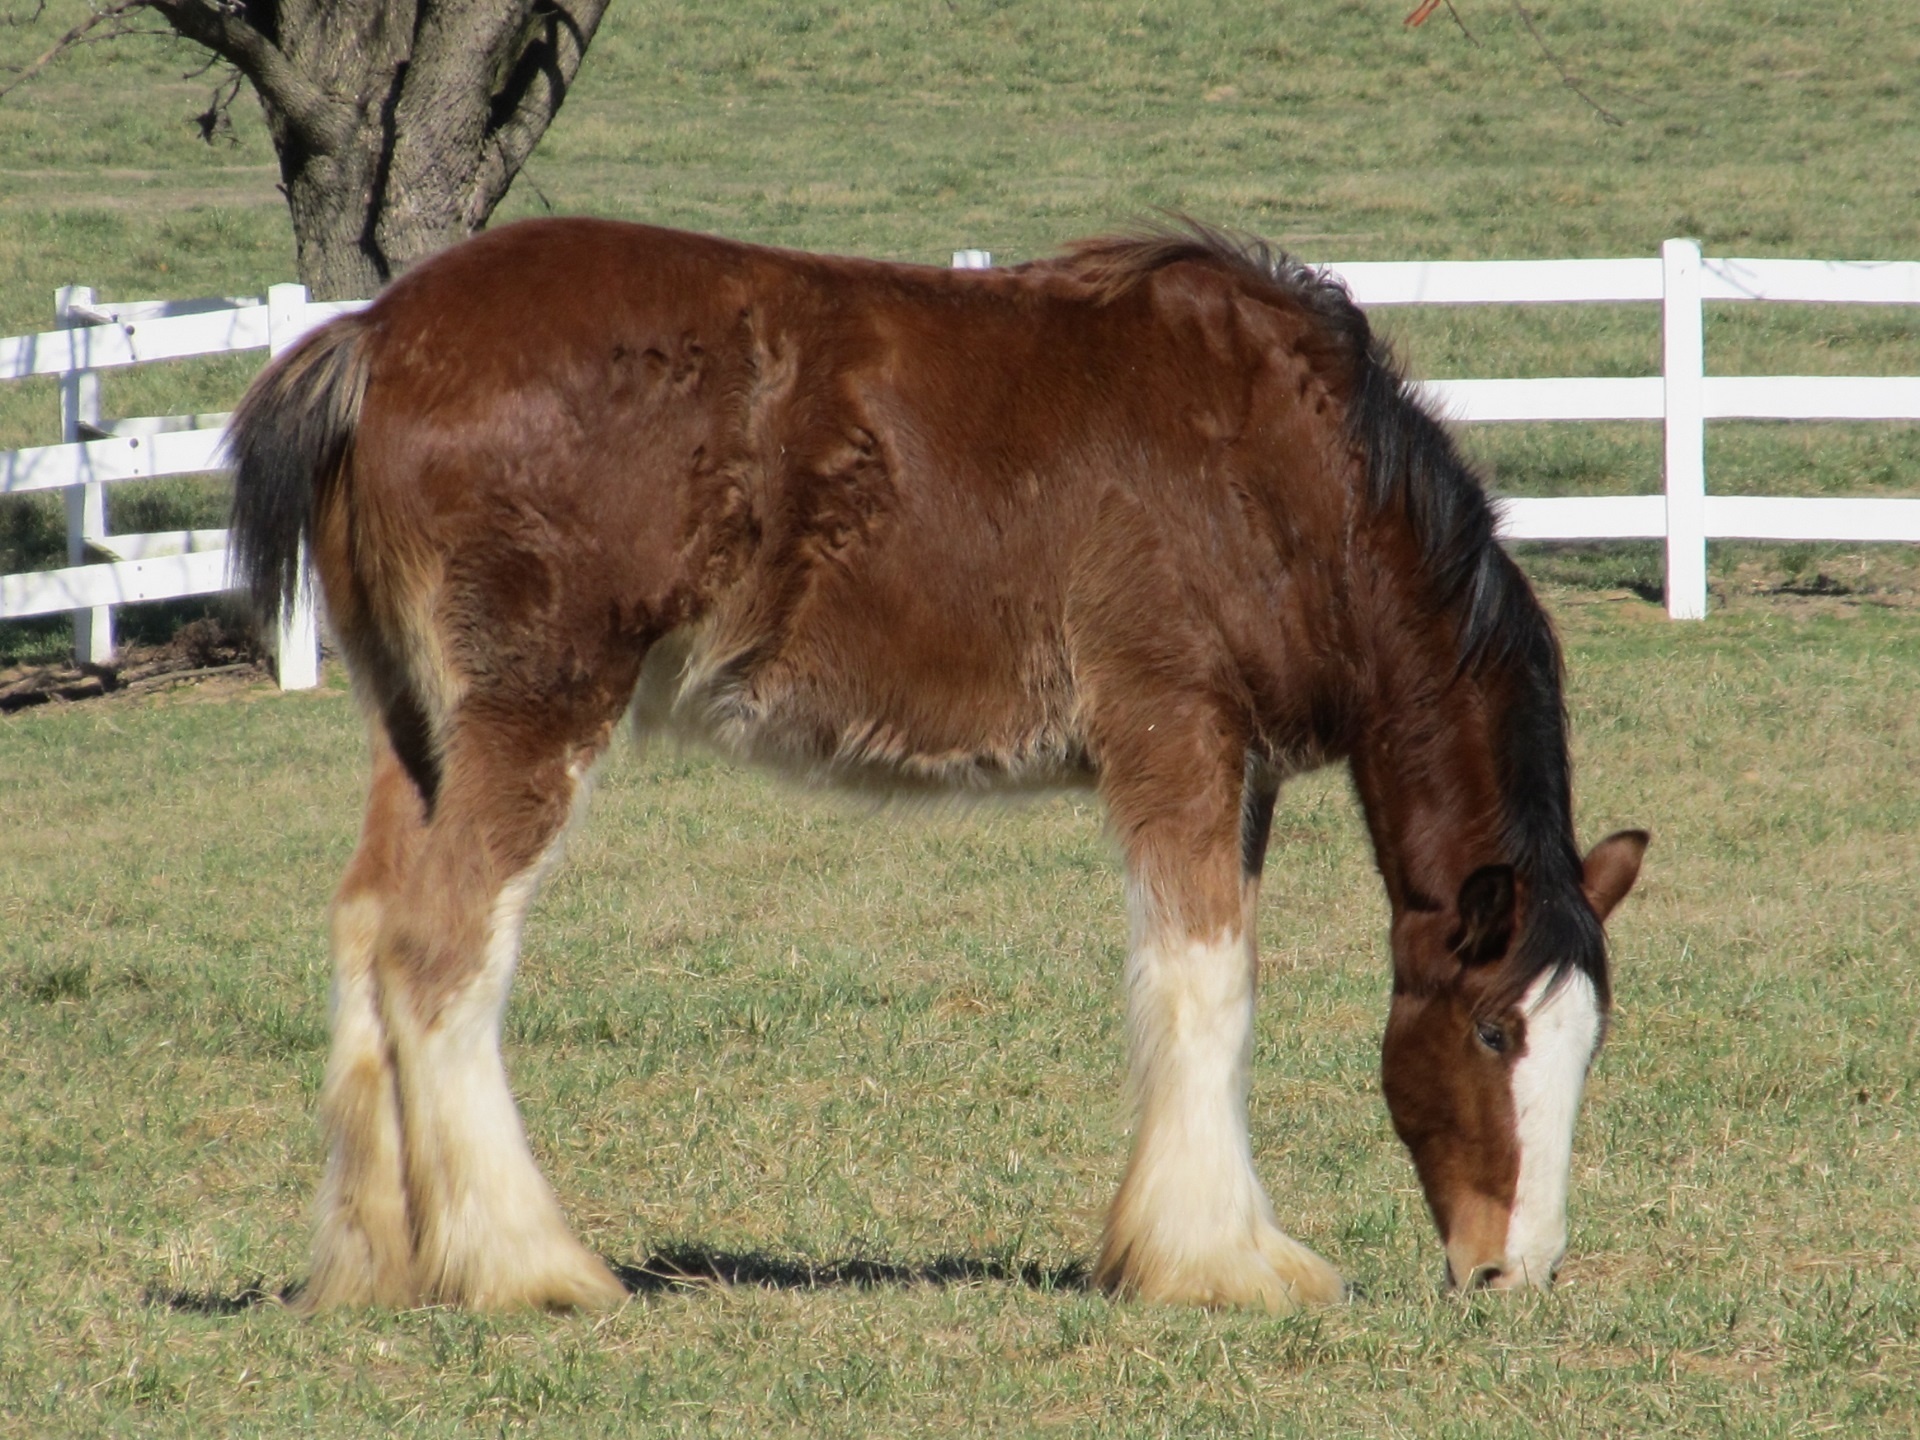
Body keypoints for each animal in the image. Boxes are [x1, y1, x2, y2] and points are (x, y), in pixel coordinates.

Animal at [224, 216, 1643, 1320]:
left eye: (1589, 1042)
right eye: (1494, 1027)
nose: (1511, 1273)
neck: (1285, 475)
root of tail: (377, 336)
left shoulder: (1240, 771)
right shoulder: (1176, 731)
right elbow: (1207, 982)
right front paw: (1217, 1261)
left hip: (420, 731)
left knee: (366, 928)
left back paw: (378, 1267)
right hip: (535, 709)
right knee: (440, 949)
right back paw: (531, 1266)